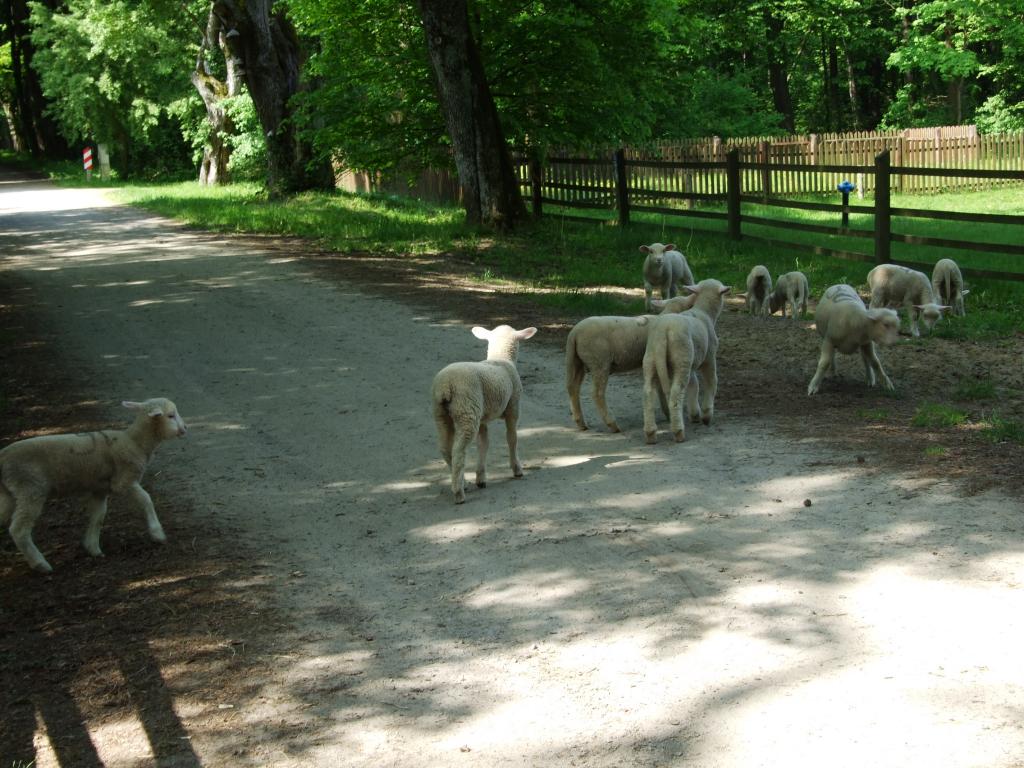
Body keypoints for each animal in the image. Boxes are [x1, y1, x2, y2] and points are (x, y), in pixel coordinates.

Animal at [0, 399, 188, 573]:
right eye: (171, 415)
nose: (185, 428)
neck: (134, 442)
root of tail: (2, 457)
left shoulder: (99, 488)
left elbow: (98, 516)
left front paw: (93, 548)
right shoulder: (124, 480)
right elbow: (146, 499)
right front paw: (158, 533)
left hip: (9, 493)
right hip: (30, 488)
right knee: (19, 530)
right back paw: (40, 564)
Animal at [432, 325, 540, 505]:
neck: (501, 358)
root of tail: (445, 386)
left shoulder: (482, 418)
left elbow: (484, 443)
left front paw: (481, 477)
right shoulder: (513, 407)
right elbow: (512, 438)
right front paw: (517, 469)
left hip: (441, 414)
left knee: (445, 449)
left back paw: (462, 482)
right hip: (467, 411)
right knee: (458, 451)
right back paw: (459, 493)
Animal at [565, 292, 700, 434]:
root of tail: (574, 334)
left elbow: (660, 387)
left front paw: (667, 412)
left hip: (577, 362)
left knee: (572, 388)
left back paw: (580, 423)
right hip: (599, 362)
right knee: (597, 393)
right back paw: (612, 424)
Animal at [638, 280, 729, 442]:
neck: (704, 311)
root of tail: (663, 331)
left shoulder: (692, 362)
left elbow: (694, 385)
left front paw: (694, 414)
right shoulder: (709, 357)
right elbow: (711, 381)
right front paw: (706, 415)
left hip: (652, 359)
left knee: (648, 391)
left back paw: (650, 433)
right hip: (681, 357)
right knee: (676, 392)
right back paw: (678, 431)